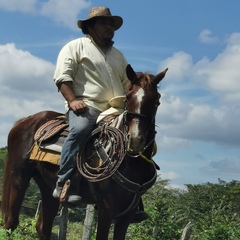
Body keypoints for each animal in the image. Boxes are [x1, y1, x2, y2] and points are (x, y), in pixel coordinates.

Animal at [0, 64, 168, 239]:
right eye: (128, 97)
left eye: (156, 100)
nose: (135, 139)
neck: (132, 163)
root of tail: (26, 120)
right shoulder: (106, 209)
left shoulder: (126, 215)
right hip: (19, 176)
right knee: (11, 221)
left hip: (47, 186)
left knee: (43, 227)